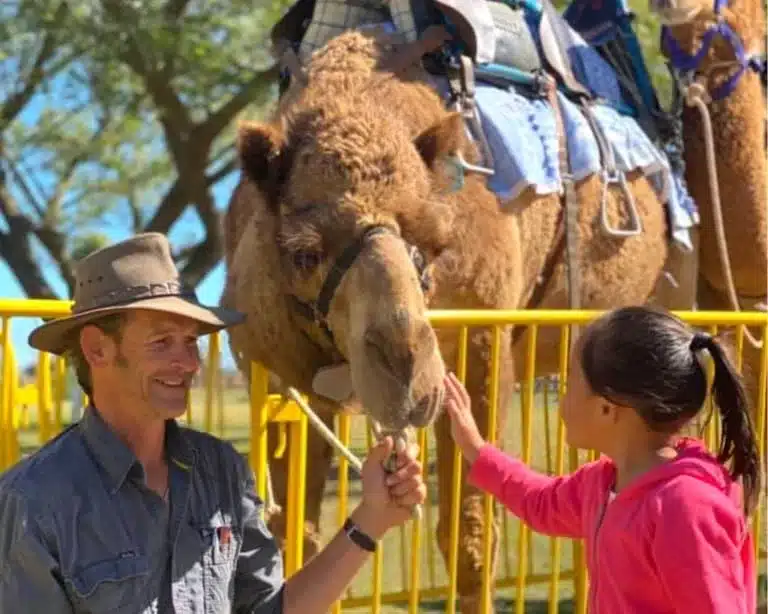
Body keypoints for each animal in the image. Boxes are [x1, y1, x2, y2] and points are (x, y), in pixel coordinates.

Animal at [219, 27, 676, 612]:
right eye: (303, 254)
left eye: (435, 246)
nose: (407, 374)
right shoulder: (279, 373)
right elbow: (292, 534)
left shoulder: (483, 333)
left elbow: (471, 532)